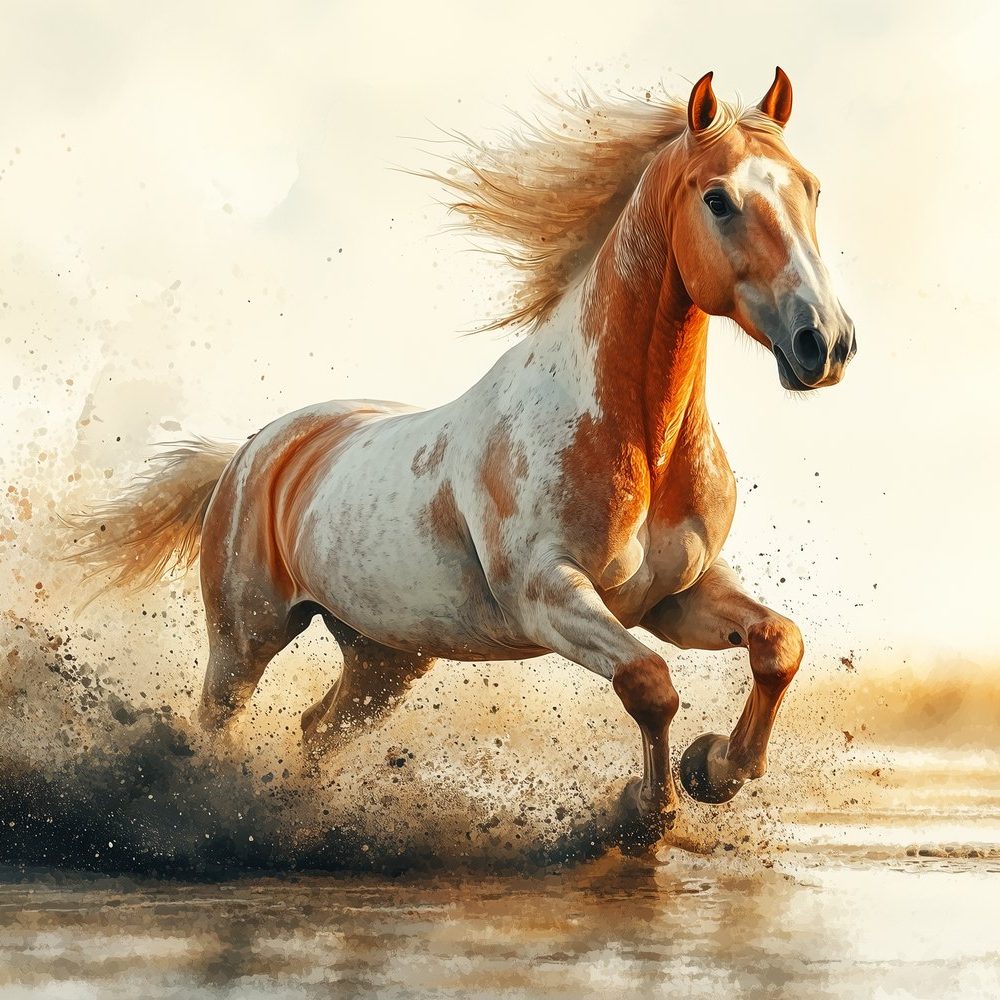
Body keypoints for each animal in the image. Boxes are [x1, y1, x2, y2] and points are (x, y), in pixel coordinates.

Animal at [72, 68, 855, 848]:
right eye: (718, 199)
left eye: (811, 188)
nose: (825, 343)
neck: (637, 439)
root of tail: (252, 448)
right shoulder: (548, 597)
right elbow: (649, 685)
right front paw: (647, 811)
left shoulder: (674, 596)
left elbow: (778, 643)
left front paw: (715, 769)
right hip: (246, 636)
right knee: (217, 724)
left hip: (385, 655)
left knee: (318, 730)